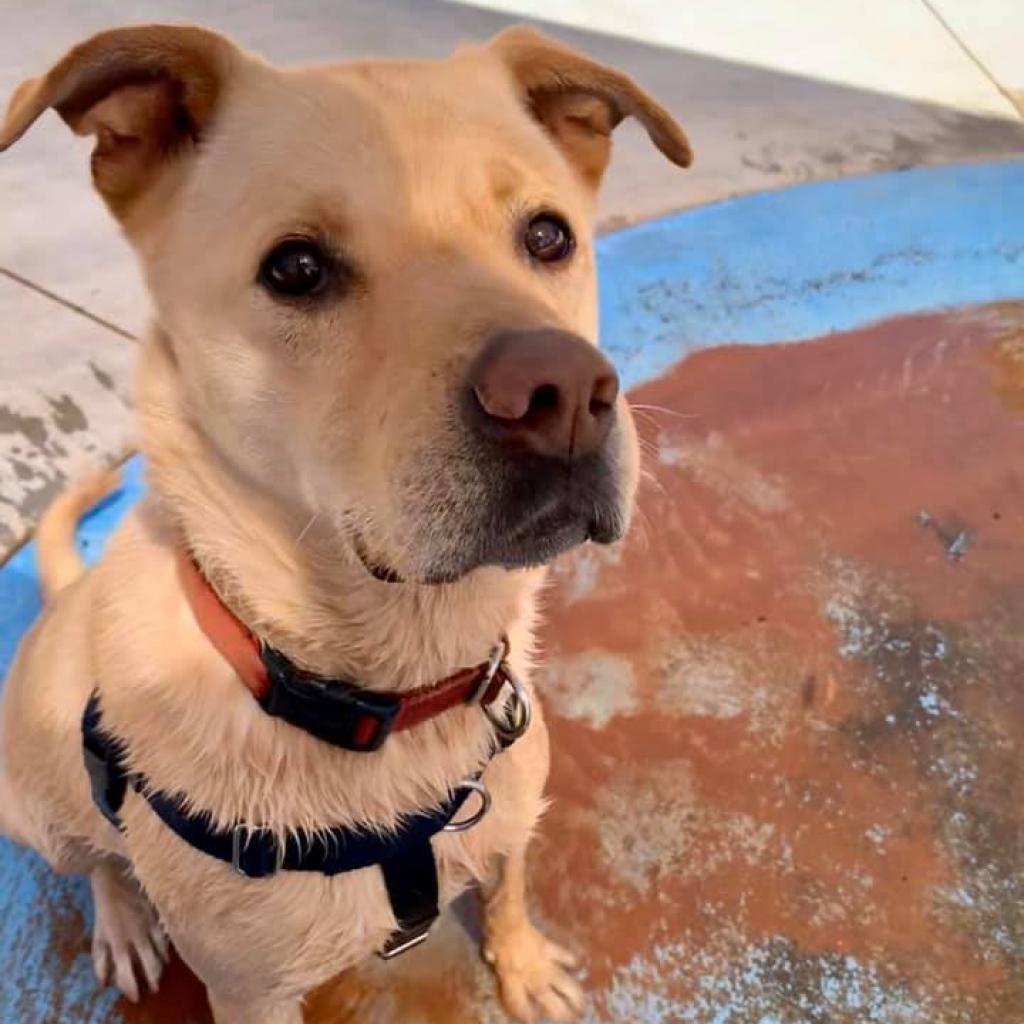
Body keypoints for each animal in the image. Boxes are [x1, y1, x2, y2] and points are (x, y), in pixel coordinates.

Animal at [2, 24, 688, 1024]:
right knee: (96, 861)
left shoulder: (512, 816)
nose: (562, 394)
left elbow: (510, 883)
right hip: (33, 806)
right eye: (295, 268)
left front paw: (521, 965)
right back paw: (124, 919)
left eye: (548, 235)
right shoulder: (248, 992)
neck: (396, 688)